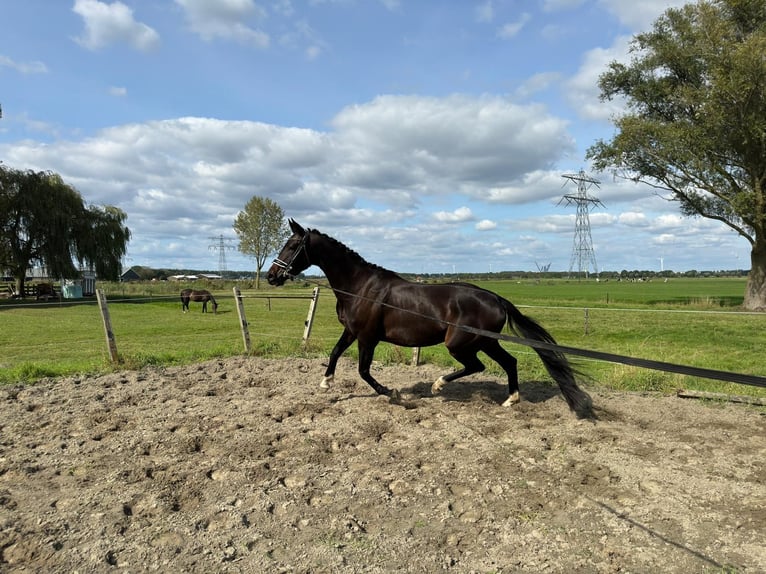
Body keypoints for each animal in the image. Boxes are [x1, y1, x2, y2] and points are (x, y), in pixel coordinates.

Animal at [268, 219, 592, 418]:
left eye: (292, 245)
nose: (272, 276)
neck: (360, 287)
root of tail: (496, 298)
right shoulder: (352, 332)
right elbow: (335, 353)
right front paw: (326, 383)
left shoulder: (368, 338)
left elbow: (363, 371)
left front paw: (395, 394)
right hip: (485, 342)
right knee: (509, 362)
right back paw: (510, 399)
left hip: (461, 344)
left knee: (477, 366)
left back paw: (438, 385)